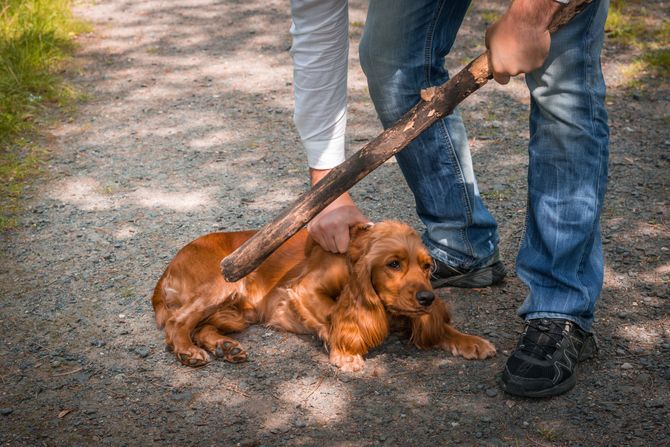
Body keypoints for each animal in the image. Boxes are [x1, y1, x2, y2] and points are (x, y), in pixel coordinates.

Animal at [154, 220, 498, 372]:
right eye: (393, 264)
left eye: (428, 267)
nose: (427, 298)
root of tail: (168, 267)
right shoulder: (304, 288)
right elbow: (331, 316)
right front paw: (344, 351)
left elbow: (442, 329)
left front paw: (472, 341)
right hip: (222, 285)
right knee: (179, 323)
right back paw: (188, 351)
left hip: (236, 314)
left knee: (202, 327)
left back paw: (226, 347)